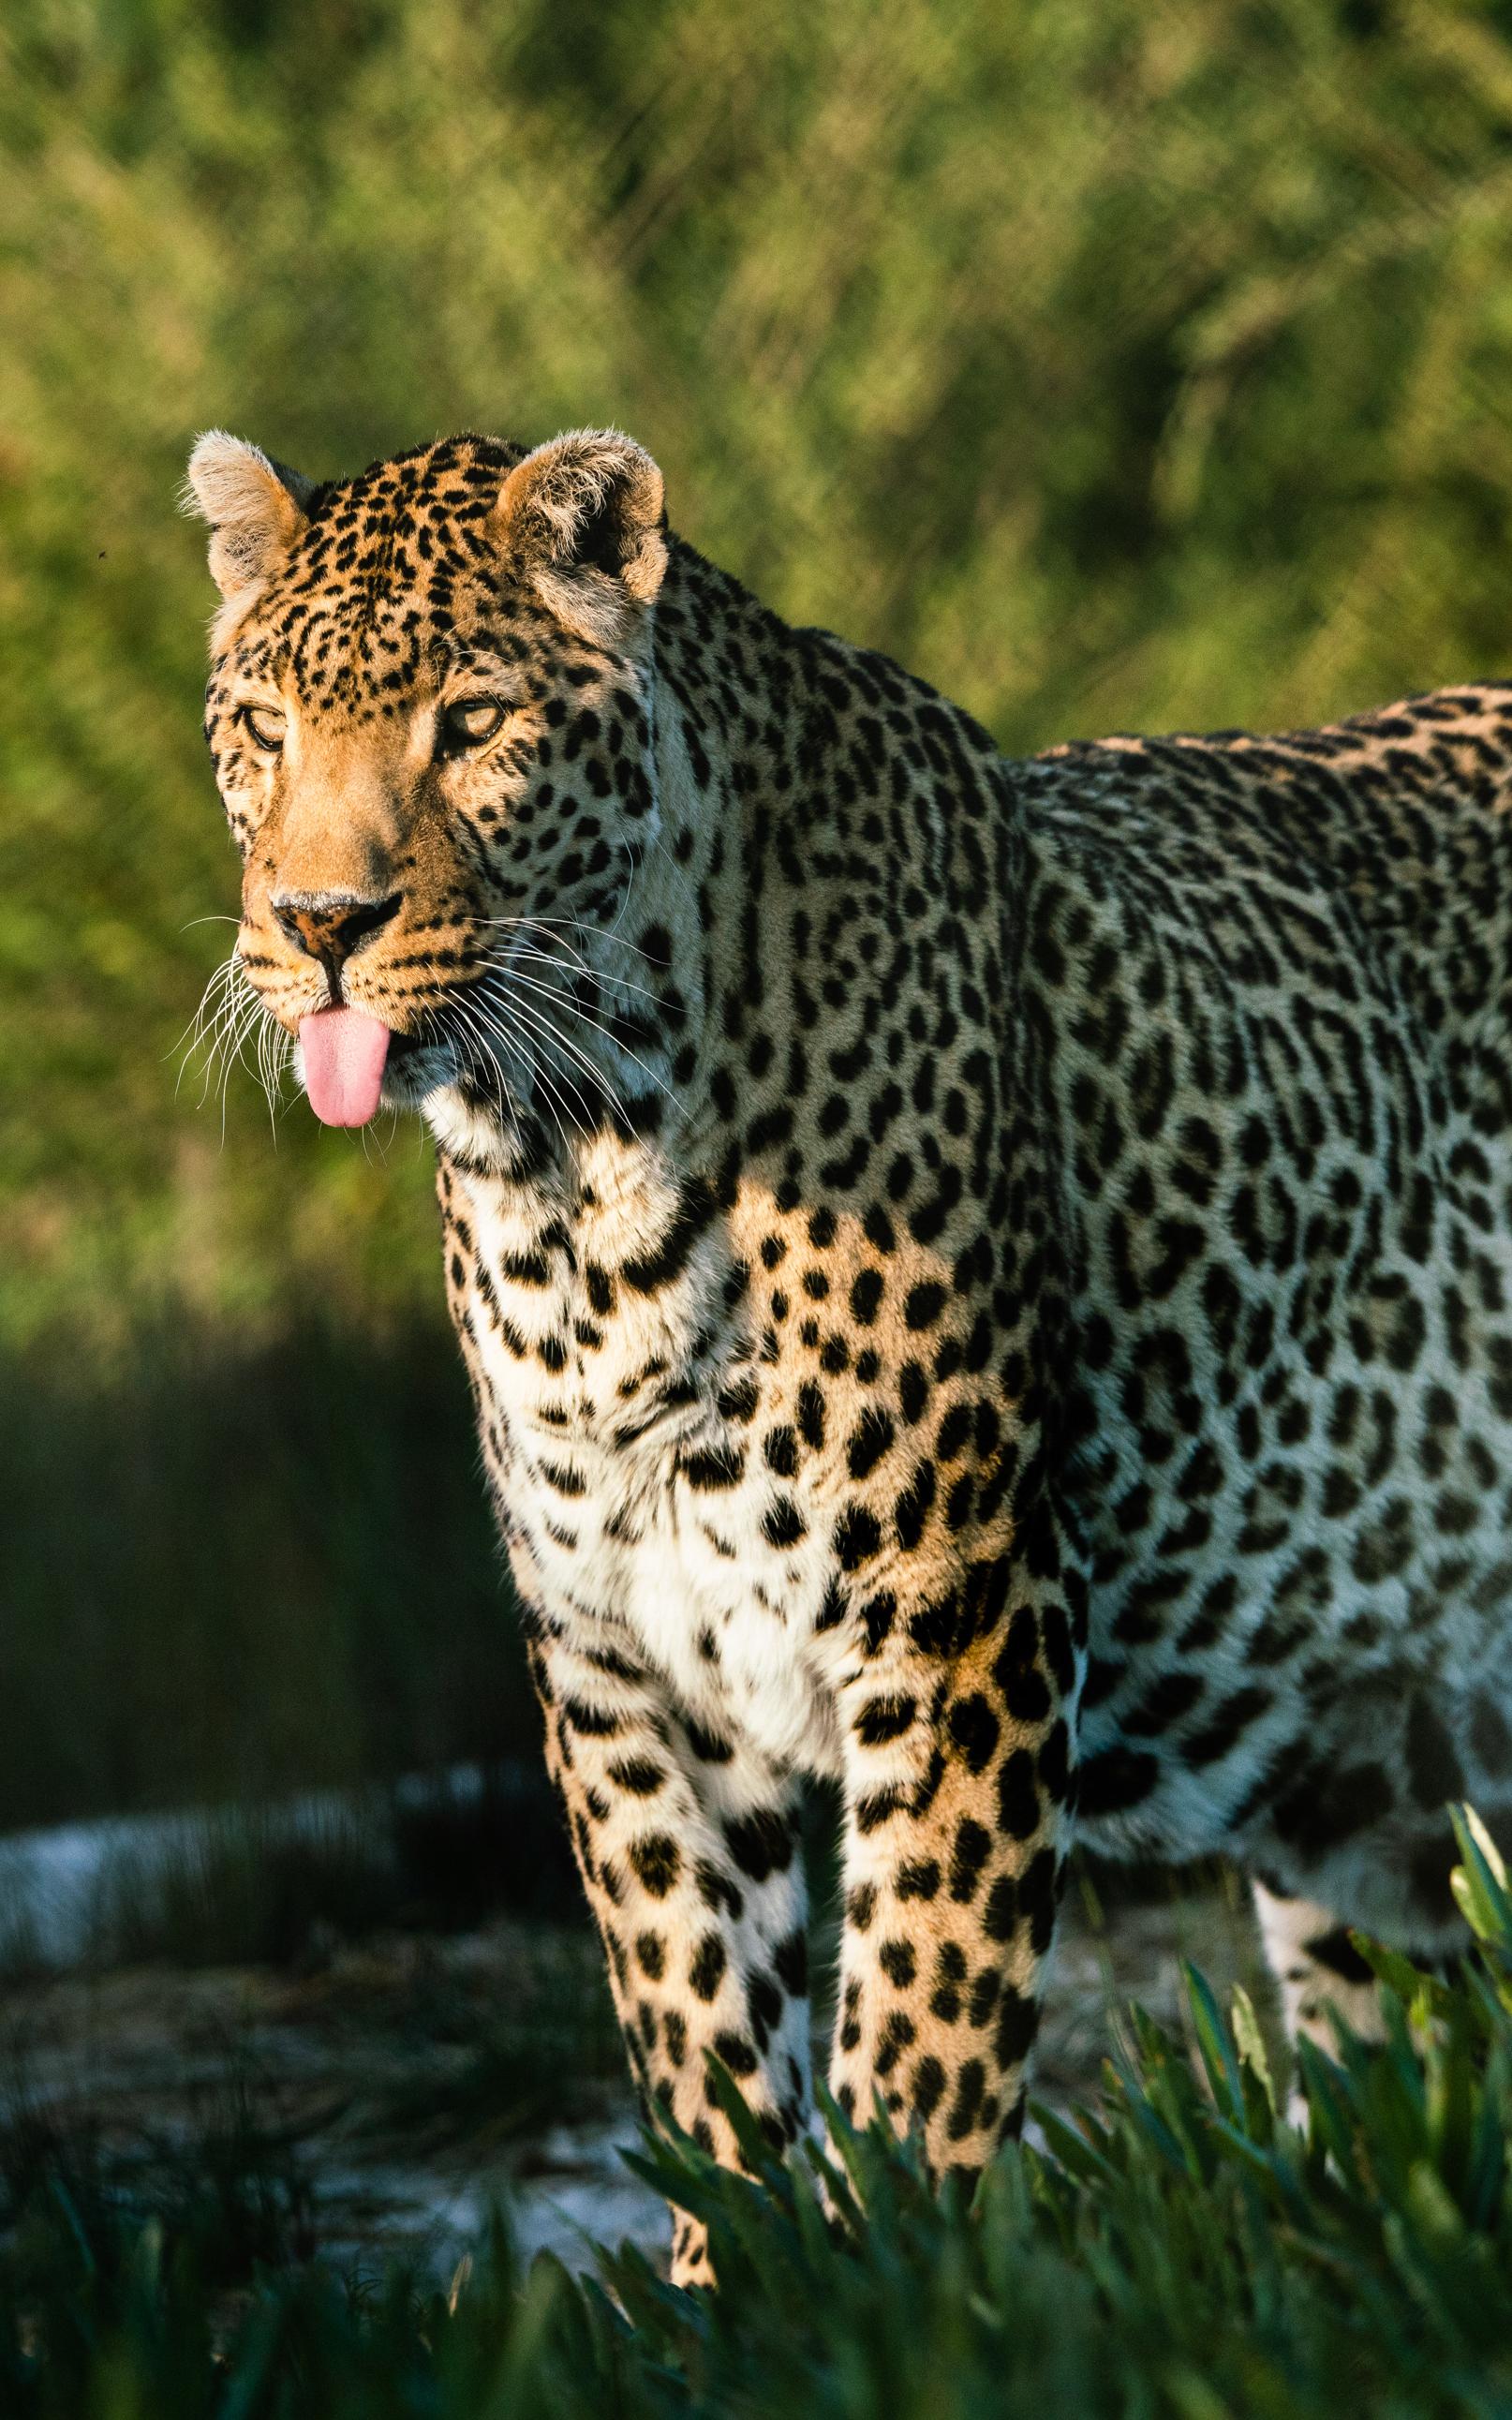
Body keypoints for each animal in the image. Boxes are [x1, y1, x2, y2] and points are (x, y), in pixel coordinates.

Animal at [186, 422, 1512, 2283]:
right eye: (263, 728)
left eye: (472, 720)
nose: (317, 921)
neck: (569, 1169)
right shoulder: (618, 1654)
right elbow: (695, 2028)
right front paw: (748, 2291)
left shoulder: (960, 1607)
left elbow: (917, 2025)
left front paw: (916, 2287)